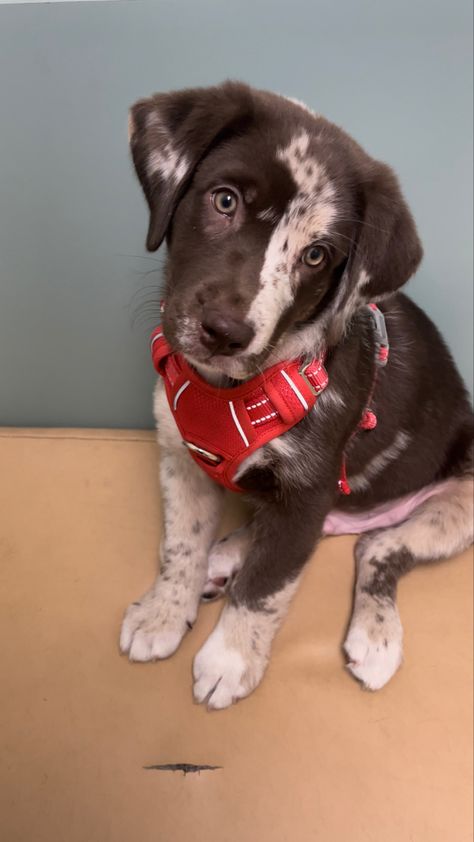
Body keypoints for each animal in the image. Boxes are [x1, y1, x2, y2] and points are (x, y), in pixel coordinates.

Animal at [119, 82, 474, 704]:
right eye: (225, 200)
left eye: (316, 256)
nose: (224, 332)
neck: (231, 389)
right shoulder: (181, 459)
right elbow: (180, 544)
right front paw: (164, 611)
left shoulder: (308, 491)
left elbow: (267, 586)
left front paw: (231, 660)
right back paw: (223, 558)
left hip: (459, 500)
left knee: (375, 550)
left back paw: (375, 638)